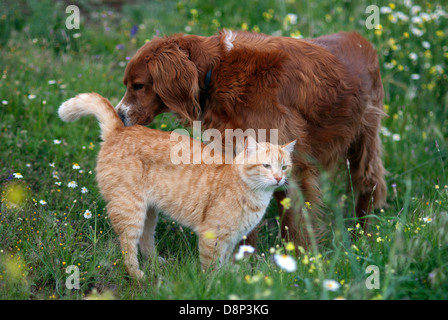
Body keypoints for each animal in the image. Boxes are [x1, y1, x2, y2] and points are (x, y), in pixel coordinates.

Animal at [58, 92, 298, 278]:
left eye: (284, 166)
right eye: (266, 165)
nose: (278, 178)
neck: (254, 196)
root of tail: (120, 129)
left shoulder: (231, 240)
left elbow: (222, 263)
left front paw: (225, 277)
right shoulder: (212, 235)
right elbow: (211, 267)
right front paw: (213, 283)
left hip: (148, 212)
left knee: (145, 241)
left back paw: (156, 263)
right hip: (130, 210)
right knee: (128, 247)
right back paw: (138, 275)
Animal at [114, 29, 384, 245]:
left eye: (138, 85)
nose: (119, 114)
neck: (217, 71)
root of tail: (361, 41)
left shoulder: (295, 165)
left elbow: (294, 220)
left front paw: (298, 259)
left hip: (364, 140)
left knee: (369, 184)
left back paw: (362, 238)